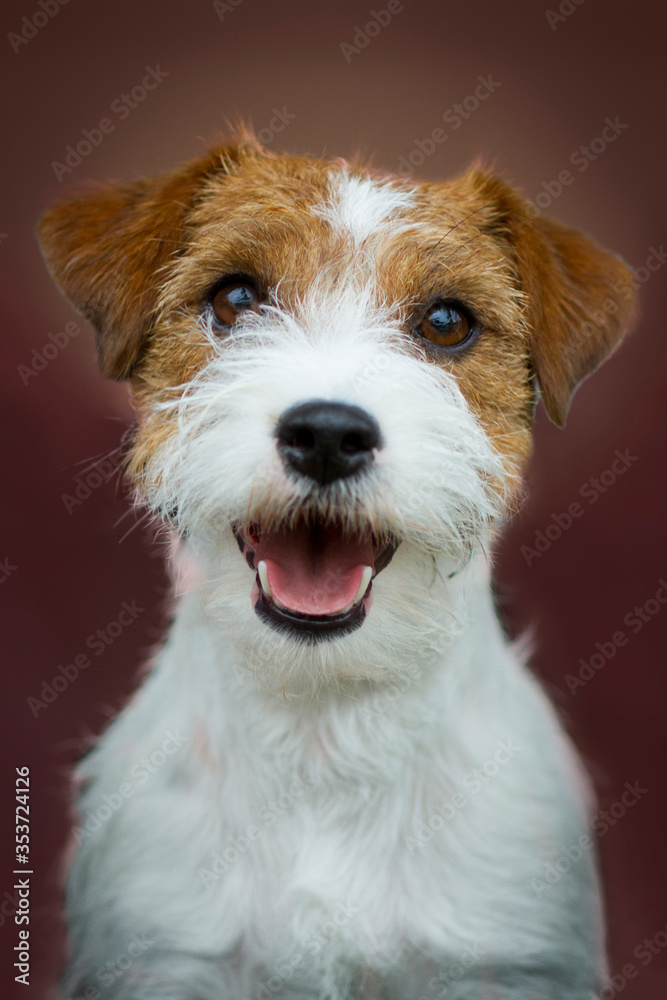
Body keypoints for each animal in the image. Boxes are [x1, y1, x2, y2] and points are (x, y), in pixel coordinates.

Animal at [40, 139, 636, 1000]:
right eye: (235, 297)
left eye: (447, 322)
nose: (326, 433)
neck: (324, 727)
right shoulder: (164, 956)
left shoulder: (503, 961)